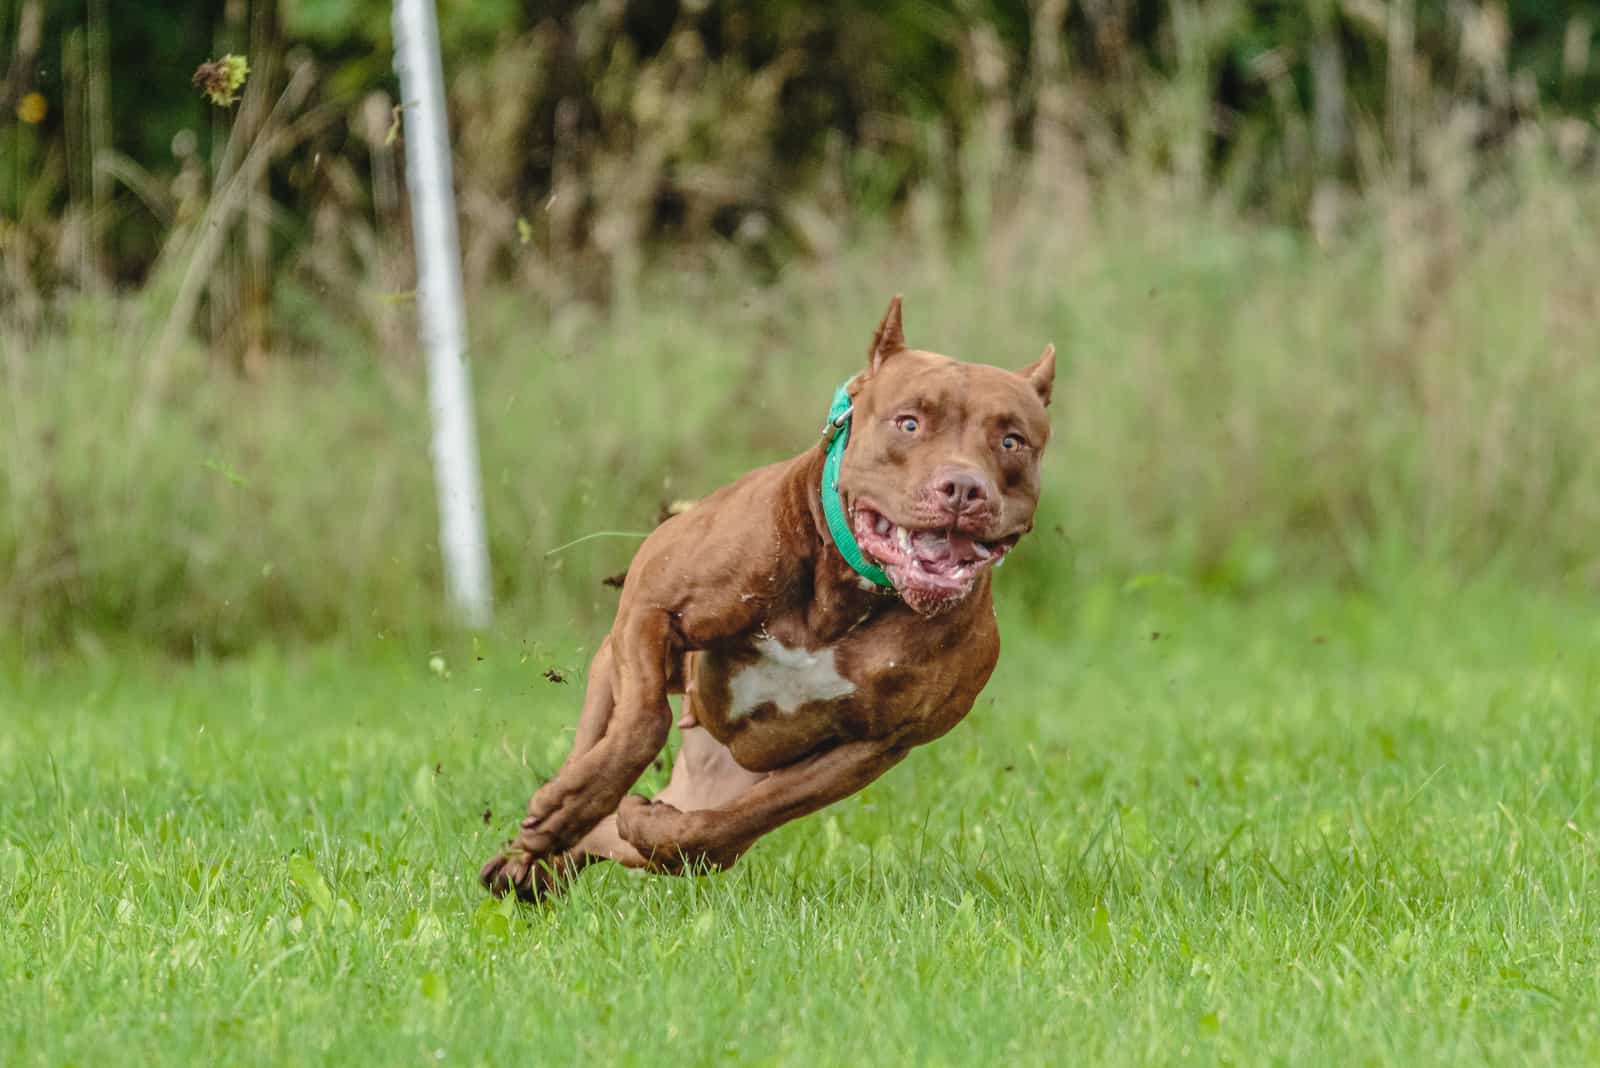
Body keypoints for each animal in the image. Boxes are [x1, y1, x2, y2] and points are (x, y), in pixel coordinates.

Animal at [480, 294, 1056, 901]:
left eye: (1012, 441)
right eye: (909, 423)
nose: (964, 489)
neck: (843, 595)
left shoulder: (874, 745)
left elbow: (733, 824)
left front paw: (654, 827)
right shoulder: (650, 608)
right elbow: (644, 722)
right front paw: (567, 808)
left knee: (628, 834)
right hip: (609, 669)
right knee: (601, 738)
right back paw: (543, 836)